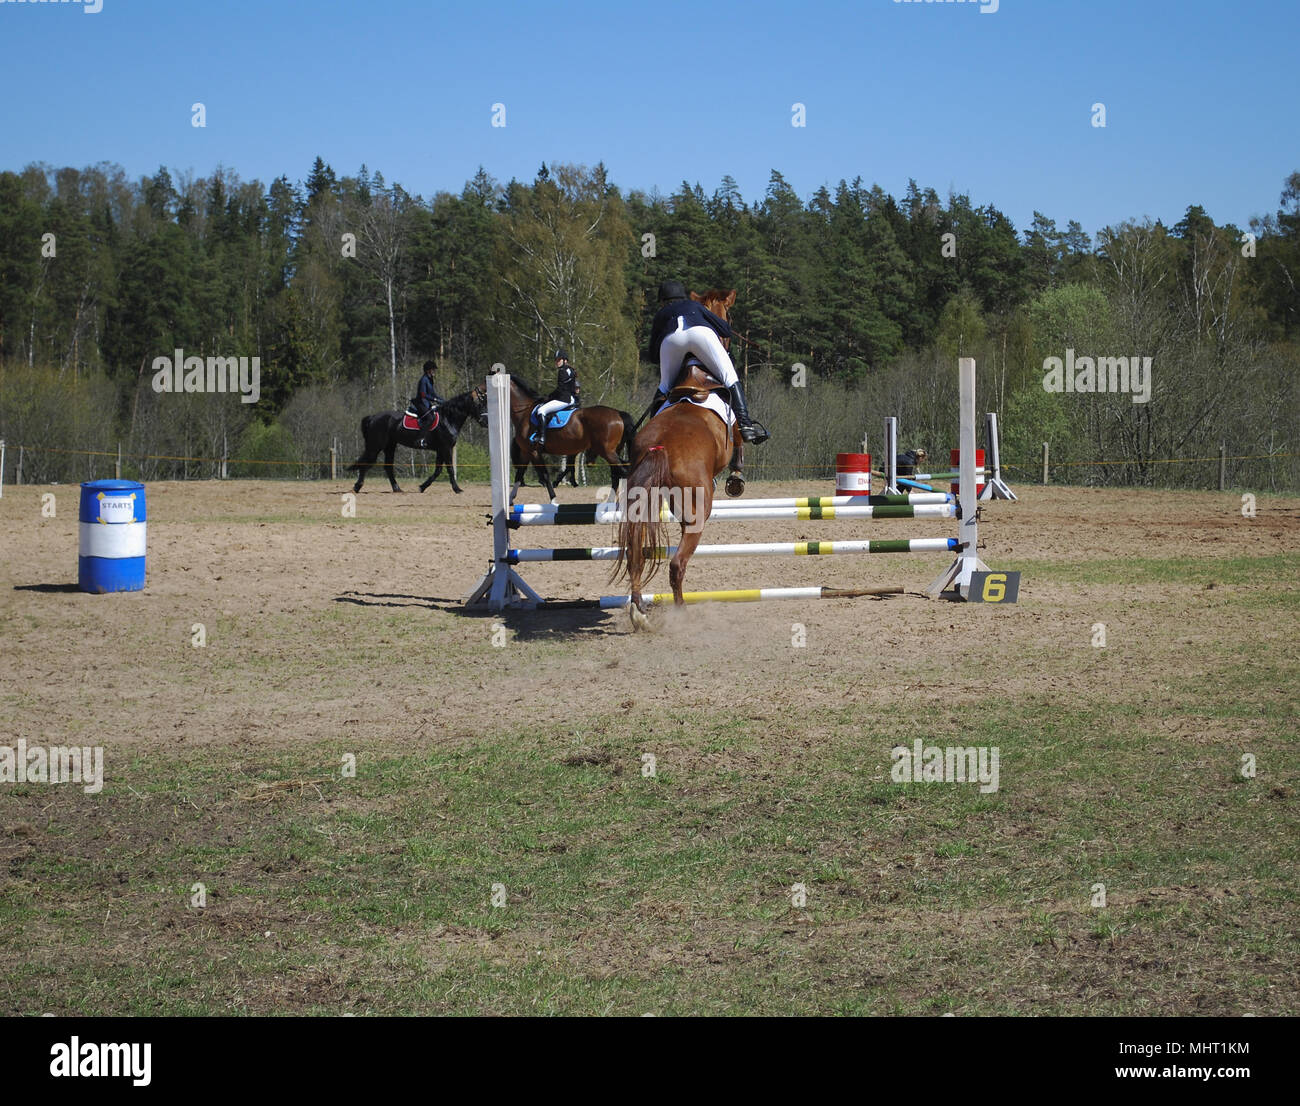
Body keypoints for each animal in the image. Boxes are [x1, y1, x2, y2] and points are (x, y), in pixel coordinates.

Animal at [348, 386, 486, 494]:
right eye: (479, 404)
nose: (485, 422)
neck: (448, 419)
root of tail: (373, 417)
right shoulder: (446, 448)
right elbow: (450, 469)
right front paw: (457, 489)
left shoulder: (441, 449)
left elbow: (438, 470)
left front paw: (422, 487)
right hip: (376, 446)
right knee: (367, 462)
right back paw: (357, 487)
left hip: (390, 446)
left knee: (388, 466)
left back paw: (397, 488)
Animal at [499, 374, 634, 502]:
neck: (525, 411)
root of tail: (618, 413)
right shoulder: (527, 451)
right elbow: (519, 474)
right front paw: (510, 500)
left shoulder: (534, 452)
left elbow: (545, 475)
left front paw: (553, 499)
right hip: (612, 451)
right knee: (617, 474)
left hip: (606, 451)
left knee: (623, 472)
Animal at [611, 288, 747, 628]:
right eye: (729, 316)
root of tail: (660, 447)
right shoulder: (737, 431)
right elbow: (742, 442)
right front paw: (736, 478)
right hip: (697, 513)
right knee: (677, 564)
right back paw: (681, 612)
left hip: (644, 502)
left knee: (635, 554)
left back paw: (639, 613)